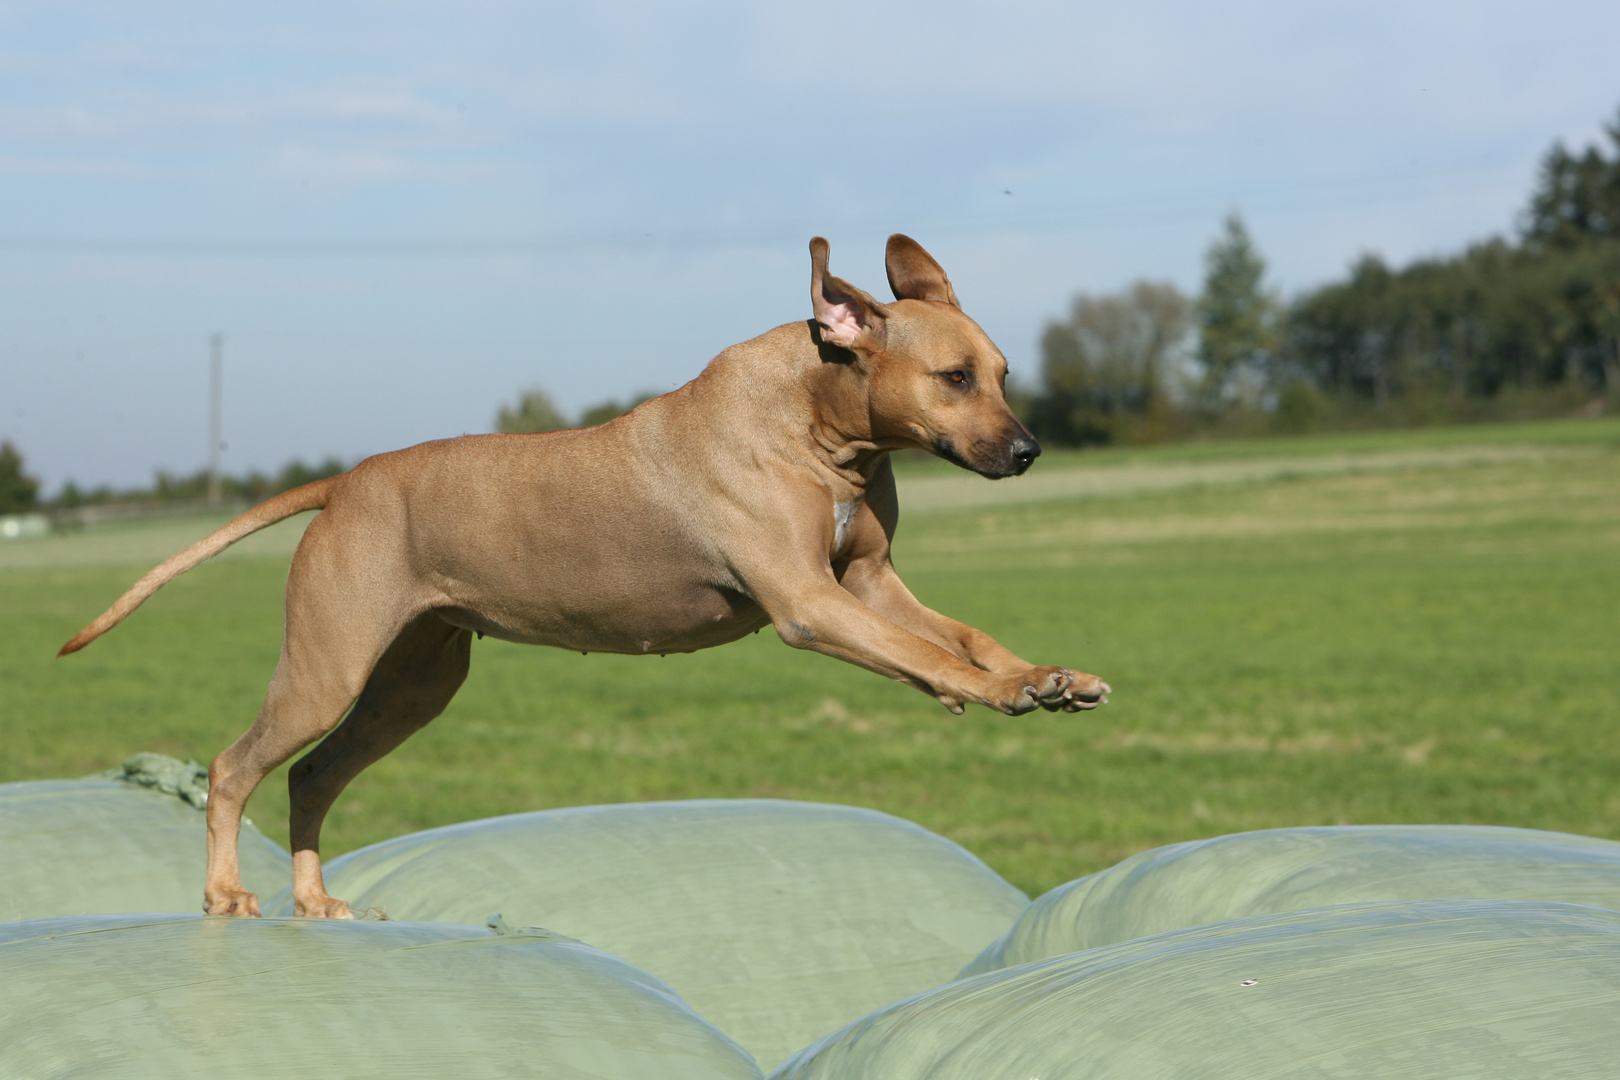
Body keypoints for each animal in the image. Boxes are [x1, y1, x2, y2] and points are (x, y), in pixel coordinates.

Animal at [59, 236, 1114, 919]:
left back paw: (314, 899)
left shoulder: (868, 586)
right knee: (236, 767)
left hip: (413, 681)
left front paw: (1045, 676)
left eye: (1005, 373)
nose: (1029, 452)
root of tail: (347, 483)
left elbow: (960, 636)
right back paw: (225, 892)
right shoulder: (812, 607)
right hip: (328, 665)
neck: (819, 422)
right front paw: (997, 693)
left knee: (313, 774)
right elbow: (925, 655)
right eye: (953, 379)